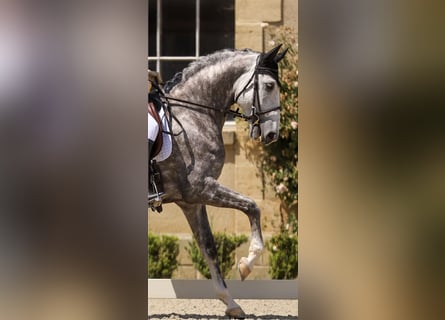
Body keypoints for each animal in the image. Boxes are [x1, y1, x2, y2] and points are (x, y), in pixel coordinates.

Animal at [154, 45, 284, 318]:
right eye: (269, 86)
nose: (272, 134)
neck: (193, 116)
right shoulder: (202, 188)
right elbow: (252, 206)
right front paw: (246, 264)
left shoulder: (191, 202)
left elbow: (209, 247)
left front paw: (231, 302)